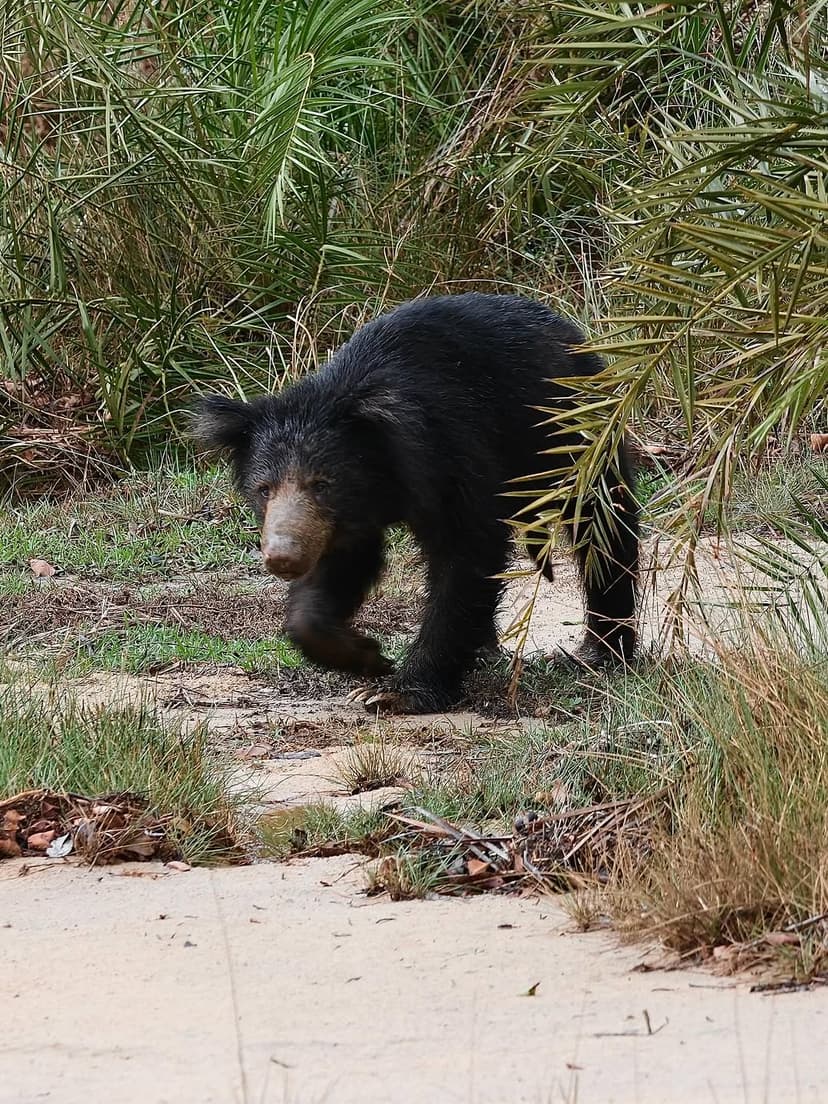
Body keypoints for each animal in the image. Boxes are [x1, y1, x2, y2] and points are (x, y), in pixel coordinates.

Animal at [194, 293, 639, 714]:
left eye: (322, 484)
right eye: (264, 489)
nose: (282, 557)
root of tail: (571, 332)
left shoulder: (452, 452)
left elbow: (466, 555)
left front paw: (397, 692)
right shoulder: (344, 520)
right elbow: (343, 566)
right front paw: (365, 658)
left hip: (575, 432)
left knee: (602, 525)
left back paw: (600, 652)